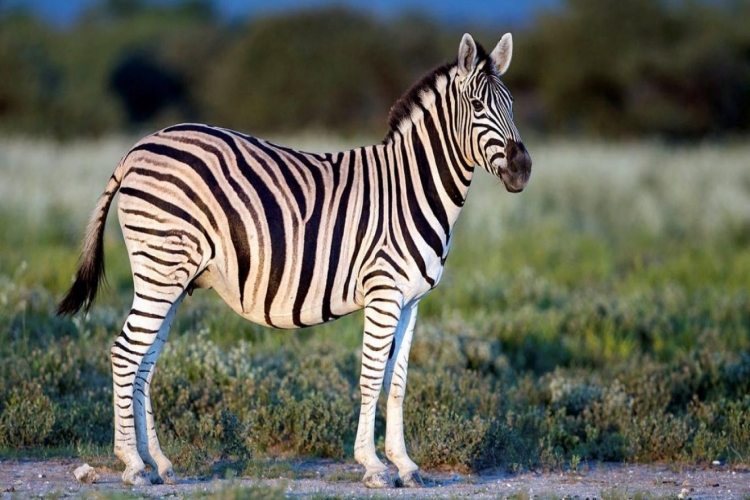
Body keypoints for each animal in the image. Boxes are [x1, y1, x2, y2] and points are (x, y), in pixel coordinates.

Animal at [57, 32, 531, 488]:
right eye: (477, 106)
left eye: (511, 105)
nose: (522, 168)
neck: (411, 188)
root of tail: (137, 148)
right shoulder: (383, 291)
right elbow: (371, 377)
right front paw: (374, 466)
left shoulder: (411, 300)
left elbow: (397, 383)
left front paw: (406, 465)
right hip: (161, 268)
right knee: (125, 353)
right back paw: (133, 464)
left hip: (171, 278)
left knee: (144, 364)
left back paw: (159, 462)